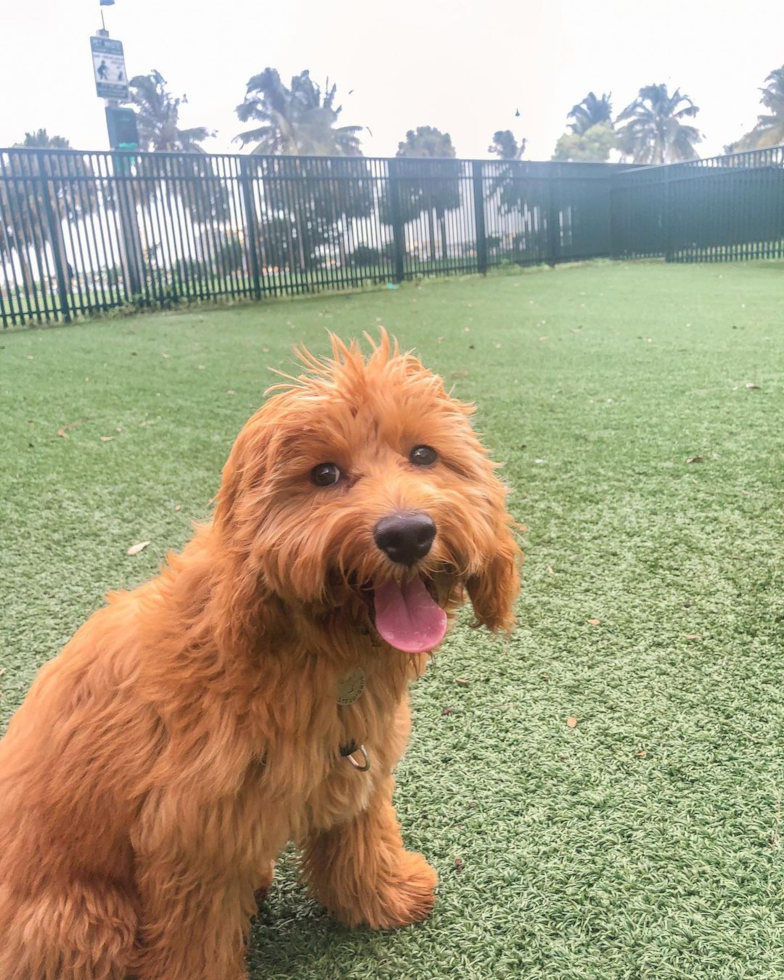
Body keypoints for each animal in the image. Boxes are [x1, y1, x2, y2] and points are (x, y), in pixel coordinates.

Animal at [0, 332, 520, 980]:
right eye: (324, 473)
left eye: (424, 455)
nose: (407, 534)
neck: (303, 643)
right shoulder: (194, 839)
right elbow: (194, 944)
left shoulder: (356, 760)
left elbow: (362, 837)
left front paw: (386, 898)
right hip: (86, 918)